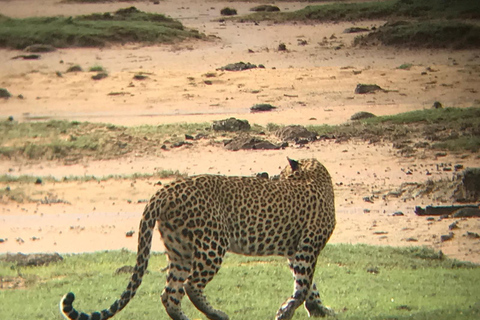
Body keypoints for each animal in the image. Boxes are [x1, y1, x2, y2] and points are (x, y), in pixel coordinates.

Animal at [60, 158, 336, 320]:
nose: (275, 178)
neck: (317, 175)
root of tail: (164, 191)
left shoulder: (296, 251)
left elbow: (310, 287)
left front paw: (319, 310)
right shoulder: (306, 249)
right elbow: (303, 287)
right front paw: (285, 313)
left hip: (179, 249)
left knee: (170, 294)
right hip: (213, 243)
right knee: (190, 285)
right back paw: (217, 314)